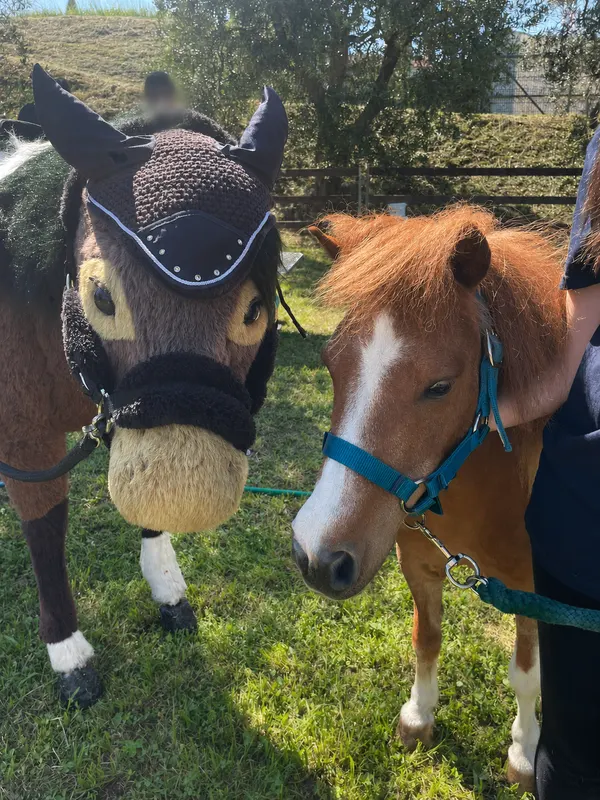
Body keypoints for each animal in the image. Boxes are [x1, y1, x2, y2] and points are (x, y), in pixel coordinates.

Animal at [0, 66, 287, 707]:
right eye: (101, 295)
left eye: (254, 310)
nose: (194, 493)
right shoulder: (24, 433)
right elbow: (45, 524)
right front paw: (69, 653)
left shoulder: (120, 410)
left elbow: (143, 497)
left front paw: (168, 589)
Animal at [292, 206, 567, 792]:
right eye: (330, 363)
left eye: (439, 386)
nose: (317, 558)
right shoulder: (417, 564)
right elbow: (427, 639)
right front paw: (418, 717)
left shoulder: (532, 592)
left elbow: (526, 675)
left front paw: (524, 753)